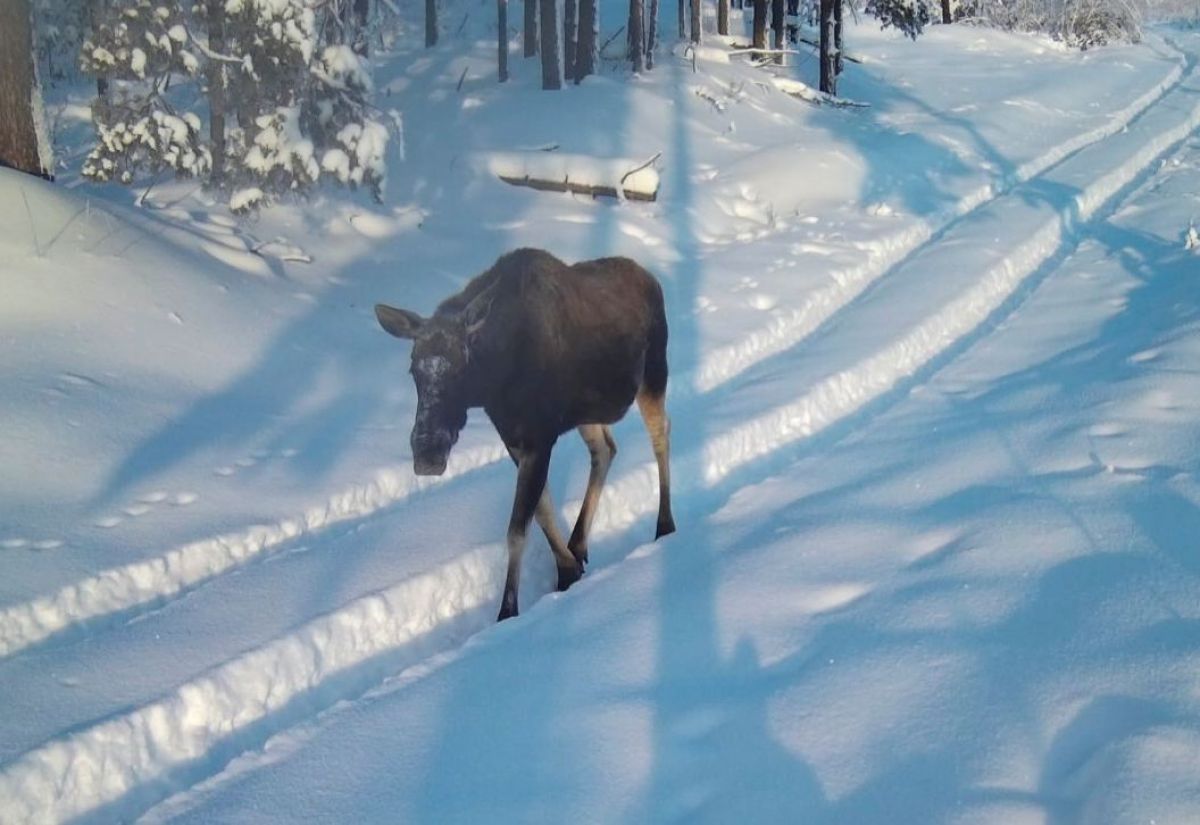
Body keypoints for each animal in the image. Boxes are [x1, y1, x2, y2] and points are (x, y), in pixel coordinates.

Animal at [375, 248, 675, 621]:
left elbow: (518, 528)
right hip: (588, 413)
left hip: (654, 373)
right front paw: (567, 570)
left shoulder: (539, 438)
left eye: (461, 367)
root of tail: (652, 278)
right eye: (414, 369)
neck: (495, 382)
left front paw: (508, 610)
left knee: (661, 436)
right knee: (606, 449)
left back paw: (664, 526)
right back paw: (579, 543)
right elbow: (542, 510)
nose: (427, 454)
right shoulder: (516, 440)